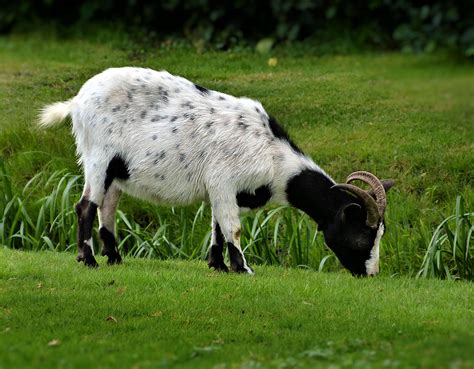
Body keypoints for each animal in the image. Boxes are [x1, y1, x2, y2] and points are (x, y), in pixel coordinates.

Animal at [39, 67, 392, 276]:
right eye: (362, 235)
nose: (370, 273)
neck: (274, 156)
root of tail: (77, 101)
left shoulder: (227, 191)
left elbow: (218, 227)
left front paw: (218, 265)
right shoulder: (223, 180)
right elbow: (232, 228)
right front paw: (243, 268)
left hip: (116, 168)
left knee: (108, 206)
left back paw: (114, 257)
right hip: (98, 156)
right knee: (86, 205)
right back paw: (89, 260)